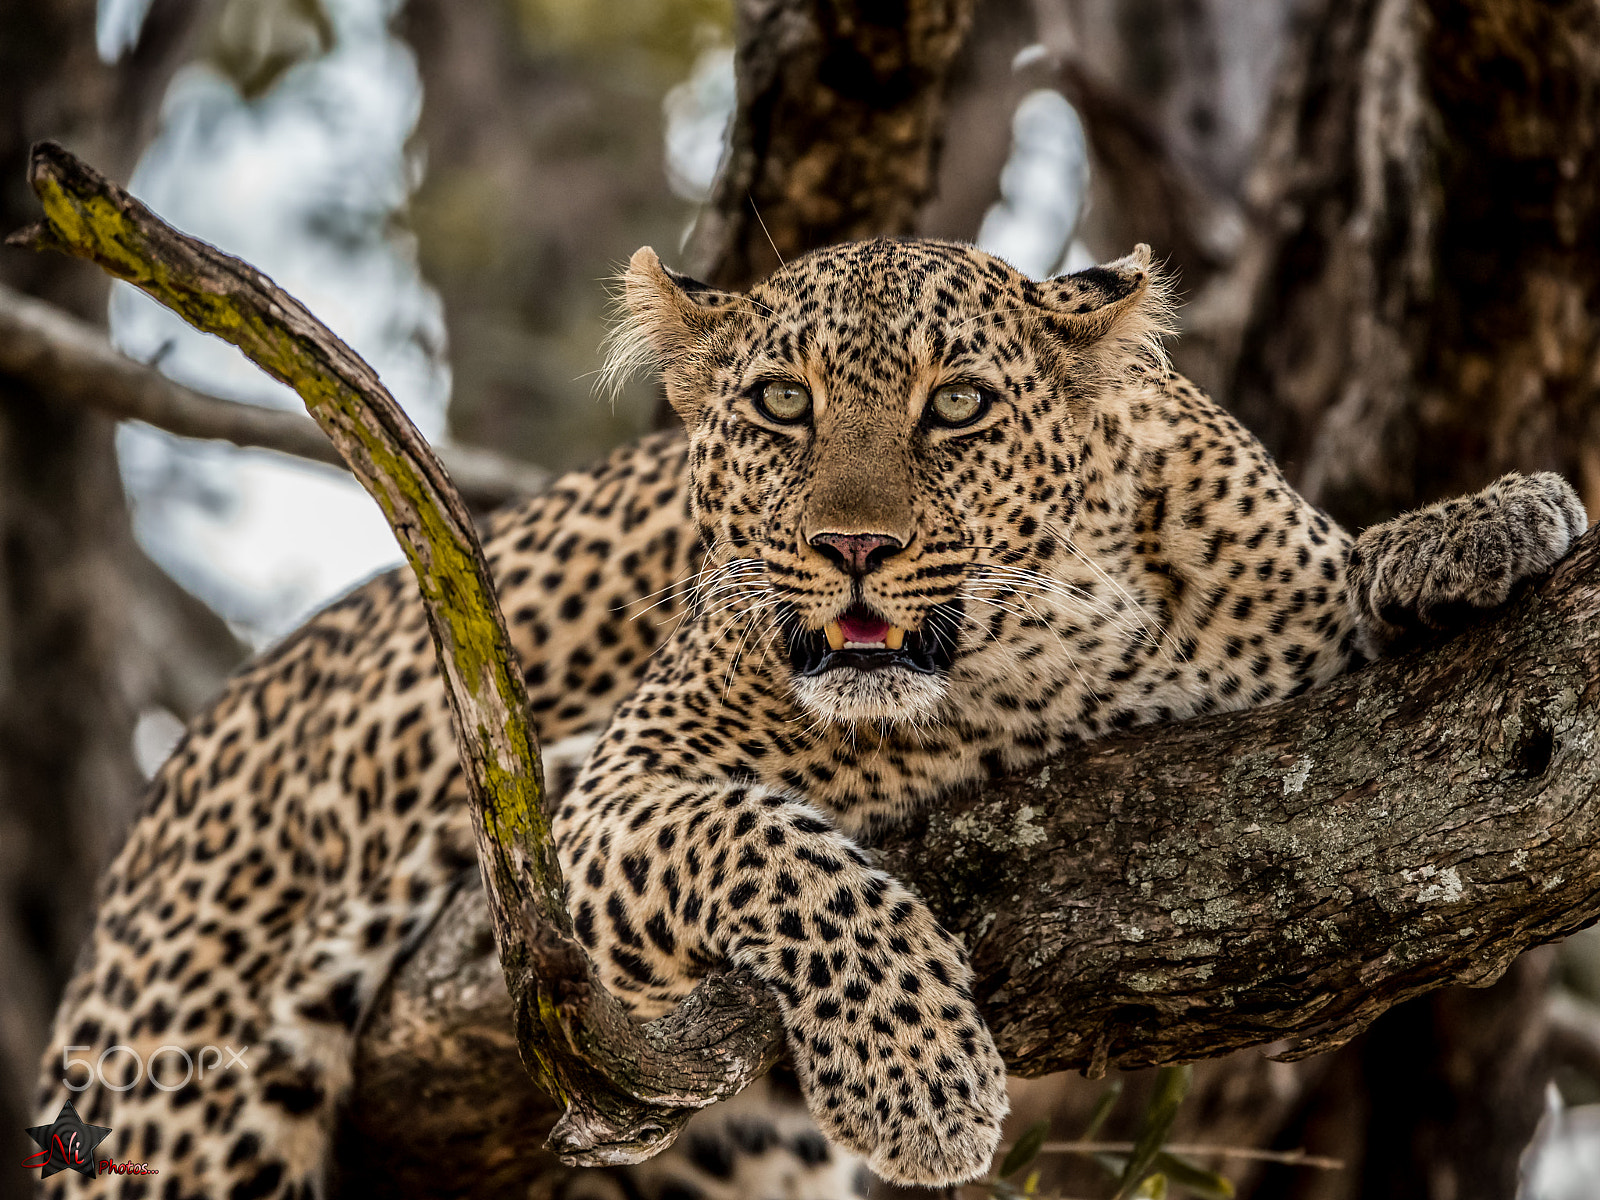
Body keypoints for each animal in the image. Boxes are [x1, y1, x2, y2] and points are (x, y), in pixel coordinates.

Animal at [32, 237, 1587, 1200]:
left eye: (956, 406)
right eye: (782, 402)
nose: (851, 548)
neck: (1038, 668)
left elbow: (1350, 584)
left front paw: (1480, 524)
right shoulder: (607, 801)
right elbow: (781, 849)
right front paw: (920, 1080)